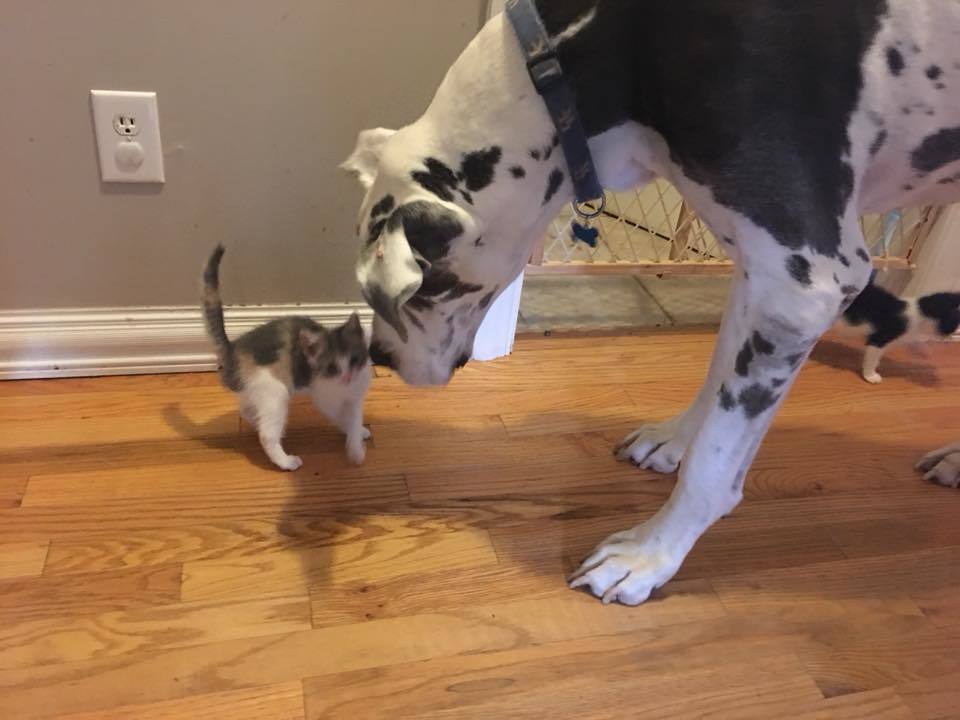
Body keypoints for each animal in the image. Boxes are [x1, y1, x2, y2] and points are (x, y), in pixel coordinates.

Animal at [202, 246, 372, 472]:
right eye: (332, 368)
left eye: (354, 360)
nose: (347, 378)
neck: (346, 388)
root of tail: (232, 350)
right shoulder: (327, 398)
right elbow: (342, 418)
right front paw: (355, 450)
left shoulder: (355, 397)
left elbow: (353, 418)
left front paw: (358, 433)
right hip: (274, 391)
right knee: (267, 435)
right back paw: (286, 461)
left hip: (253, 391)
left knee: (247, 411)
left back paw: (256, 422)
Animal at [344, 1, 960, 608]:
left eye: (420, 290)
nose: (381, 357)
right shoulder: (755, 262)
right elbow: (716, 375)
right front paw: (674, 439)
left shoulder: (805, 284)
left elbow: (712, 468)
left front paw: (648, 556)